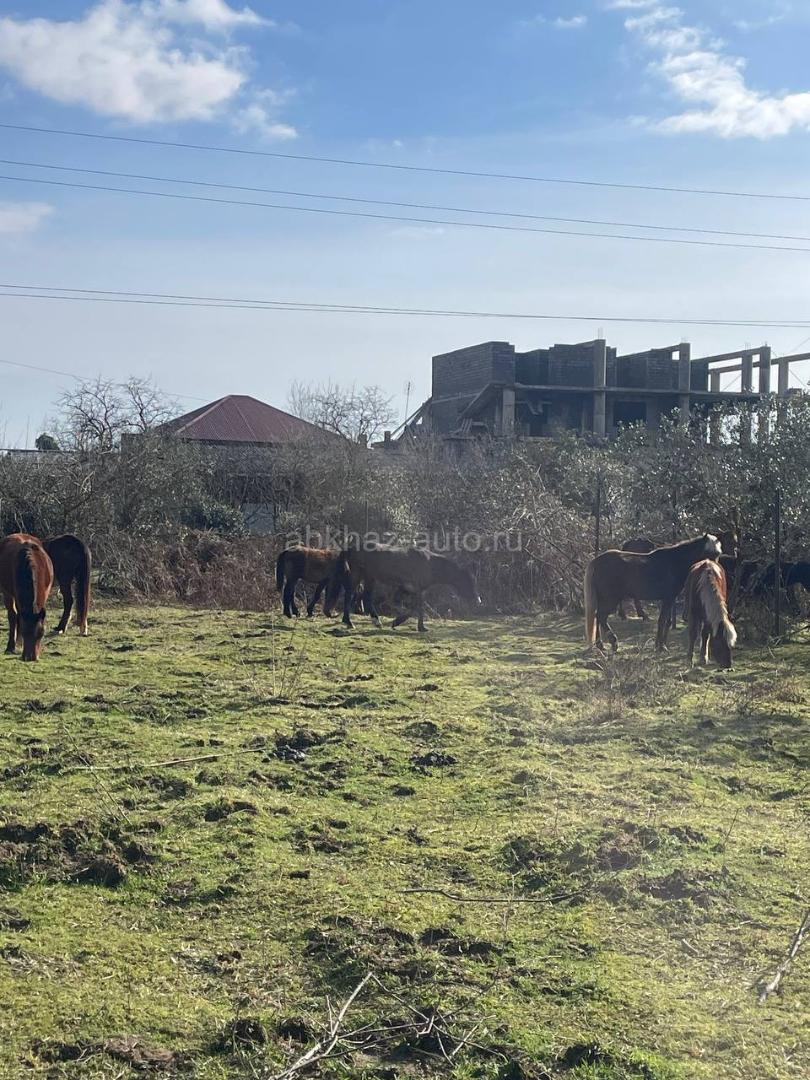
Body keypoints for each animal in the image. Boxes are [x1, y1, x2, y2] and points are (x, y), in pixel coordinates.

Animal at [327, 544, 481, 631]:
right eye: (468, 581)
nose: (478, 600)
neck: (429, 563)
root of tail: (350, 548)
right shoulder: (416, 589)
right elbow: (416, 607)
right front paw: (416, 626)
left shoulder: (407, 588)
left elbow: (407, 605)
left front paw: (399, 622)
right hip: (359, 575)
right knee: (350, 595)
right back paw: (349, 622)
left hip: (370, 578)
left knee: (364, 597)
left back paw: (375, 621)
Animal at [584, 533, 722, 652]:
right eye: (705, 553)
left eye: (718, 554)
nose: (714, 574)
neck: (675, 562)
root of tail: (597, 561)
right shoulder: (668, 598)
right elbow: (662, 620)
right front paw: (661, 647)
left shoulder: (669, 599)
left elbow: (667, 621)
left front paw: (659, 645)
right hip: (611, 599)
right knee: (601, 616)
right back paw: (613, 642)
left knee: (597, 617)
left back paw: (600, 645)